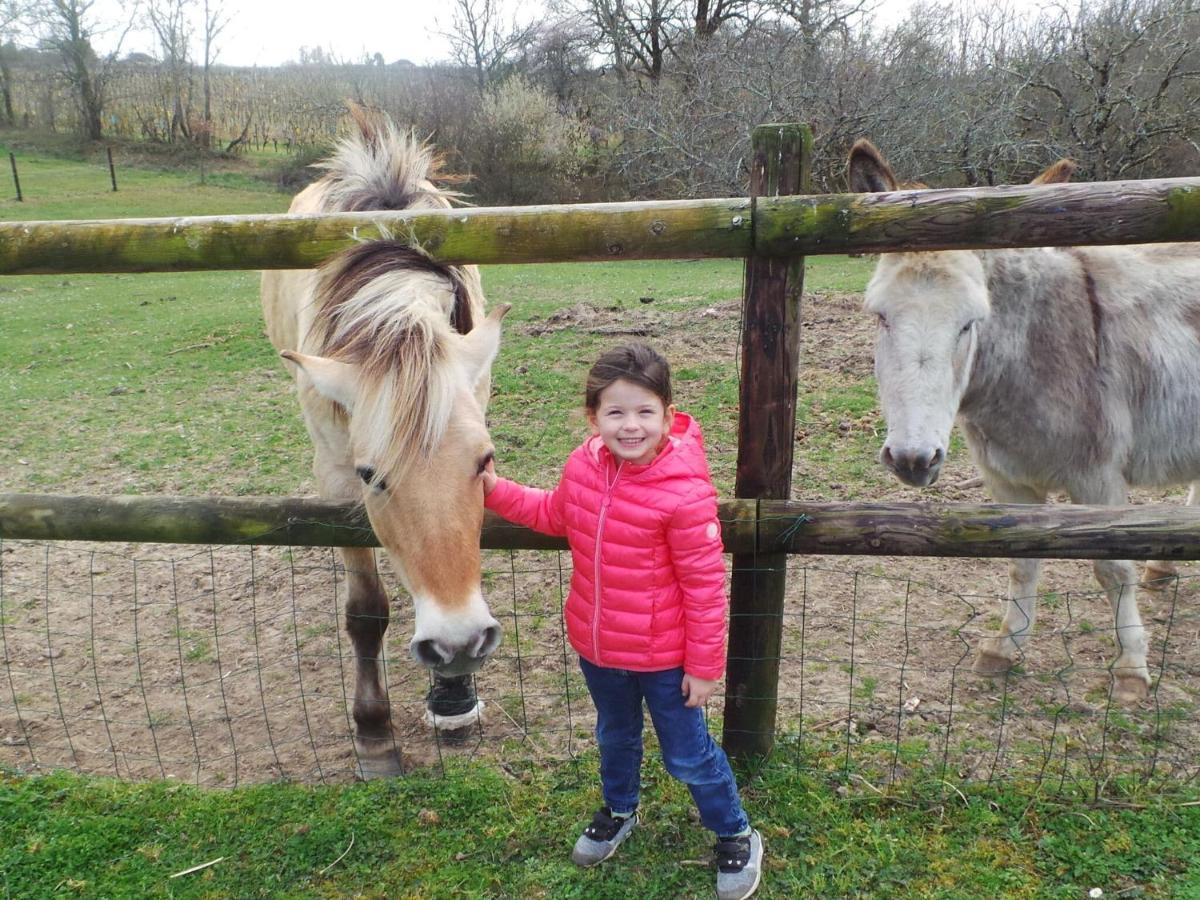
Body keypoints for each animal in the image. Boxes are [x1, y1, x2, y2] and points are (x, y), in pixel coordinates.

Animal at [262, 109, 506, 777]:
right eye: (373, 476)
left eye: (484, 461)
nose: (457, 643)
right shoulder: (336, 475)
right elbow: (366, 611)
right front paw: (374, 734)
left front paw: (453, 697)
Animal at [849, 141, 1200, 705]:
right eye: (880, 316)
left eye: (970, 323)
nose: (912, 460)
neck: (1030, 353)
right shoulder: (1006, 478)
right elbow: (1020, 560)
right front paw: (1004, 647)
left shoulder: (1098, 478)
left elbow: (1112, 567)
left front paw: (1130, 668)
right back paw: (1164, 567)